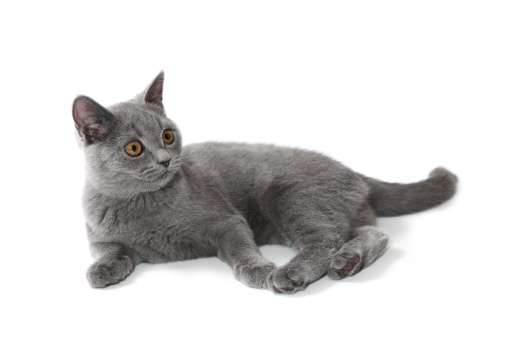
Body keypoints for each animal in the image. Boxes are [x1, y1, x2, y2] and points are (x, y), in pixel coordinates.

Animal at [73, 71, 458, 294]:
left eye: (168, 135)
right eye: (134, 148)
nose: (166, 160)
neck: (143, 204)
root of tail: (352, 171)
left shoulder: (228, 221)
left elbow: (241, 248)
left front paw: (259, 270)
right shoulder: (100, 237)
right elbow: (110, 252)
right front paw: (102, 271)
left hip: (289, 195)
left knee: (327, 238)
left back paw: (296, 272)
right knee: (373, 232)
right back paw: (348, 261)